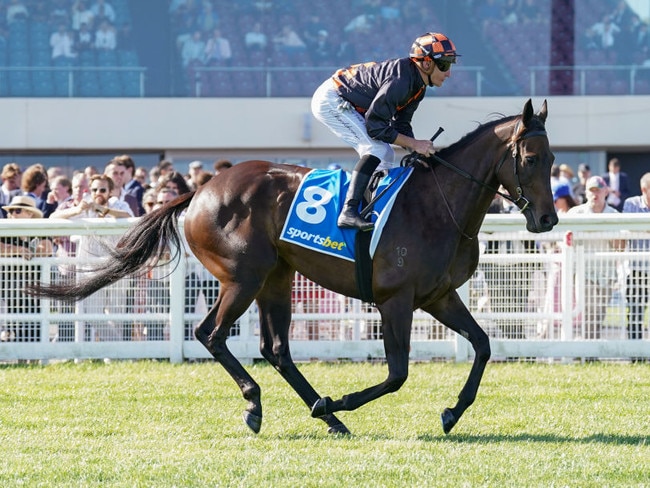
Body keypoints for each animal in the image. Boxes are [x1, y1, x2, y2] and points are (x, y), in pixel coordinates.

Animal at [33, 98, 556, 434]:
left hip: (277, 277)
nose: (547, 219)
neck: (436, 204)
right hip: (242, 277)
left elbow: (484, 346)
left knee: (276, 348)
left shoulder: (439, 295)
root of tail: (199, 191)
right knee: (210, 334)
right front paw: (340, 398)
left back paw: (329, 419)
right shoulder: (396, 300)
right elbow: (397, 374)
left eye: (553, 158)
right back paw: (261, 405)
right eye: (530, 158)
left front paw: (452, 412)